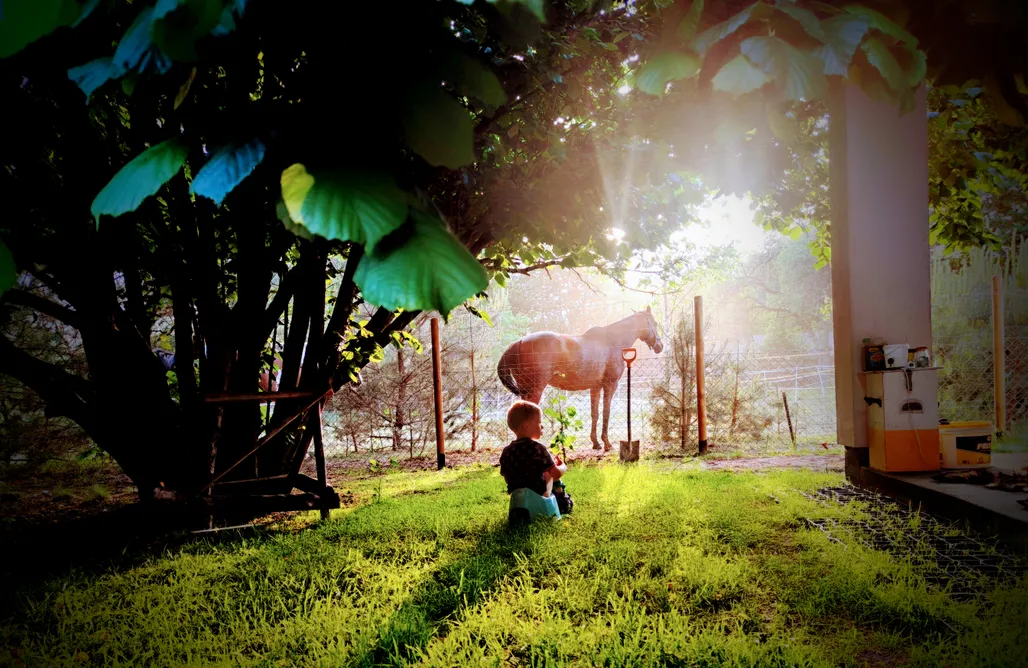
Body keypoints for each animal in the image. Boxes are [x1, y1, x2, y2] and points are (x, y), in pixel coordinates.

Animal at [497, 306, 666, 452]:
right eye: (654, 323)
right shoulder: (610, 385)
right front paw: (607, 443)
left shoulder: (595, 387)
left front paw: (596, 443)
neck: (612, 341)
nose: (660, 346)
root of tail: (518, 342)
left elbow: (595, 414)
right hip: (535, 390)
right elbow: (606, 412)